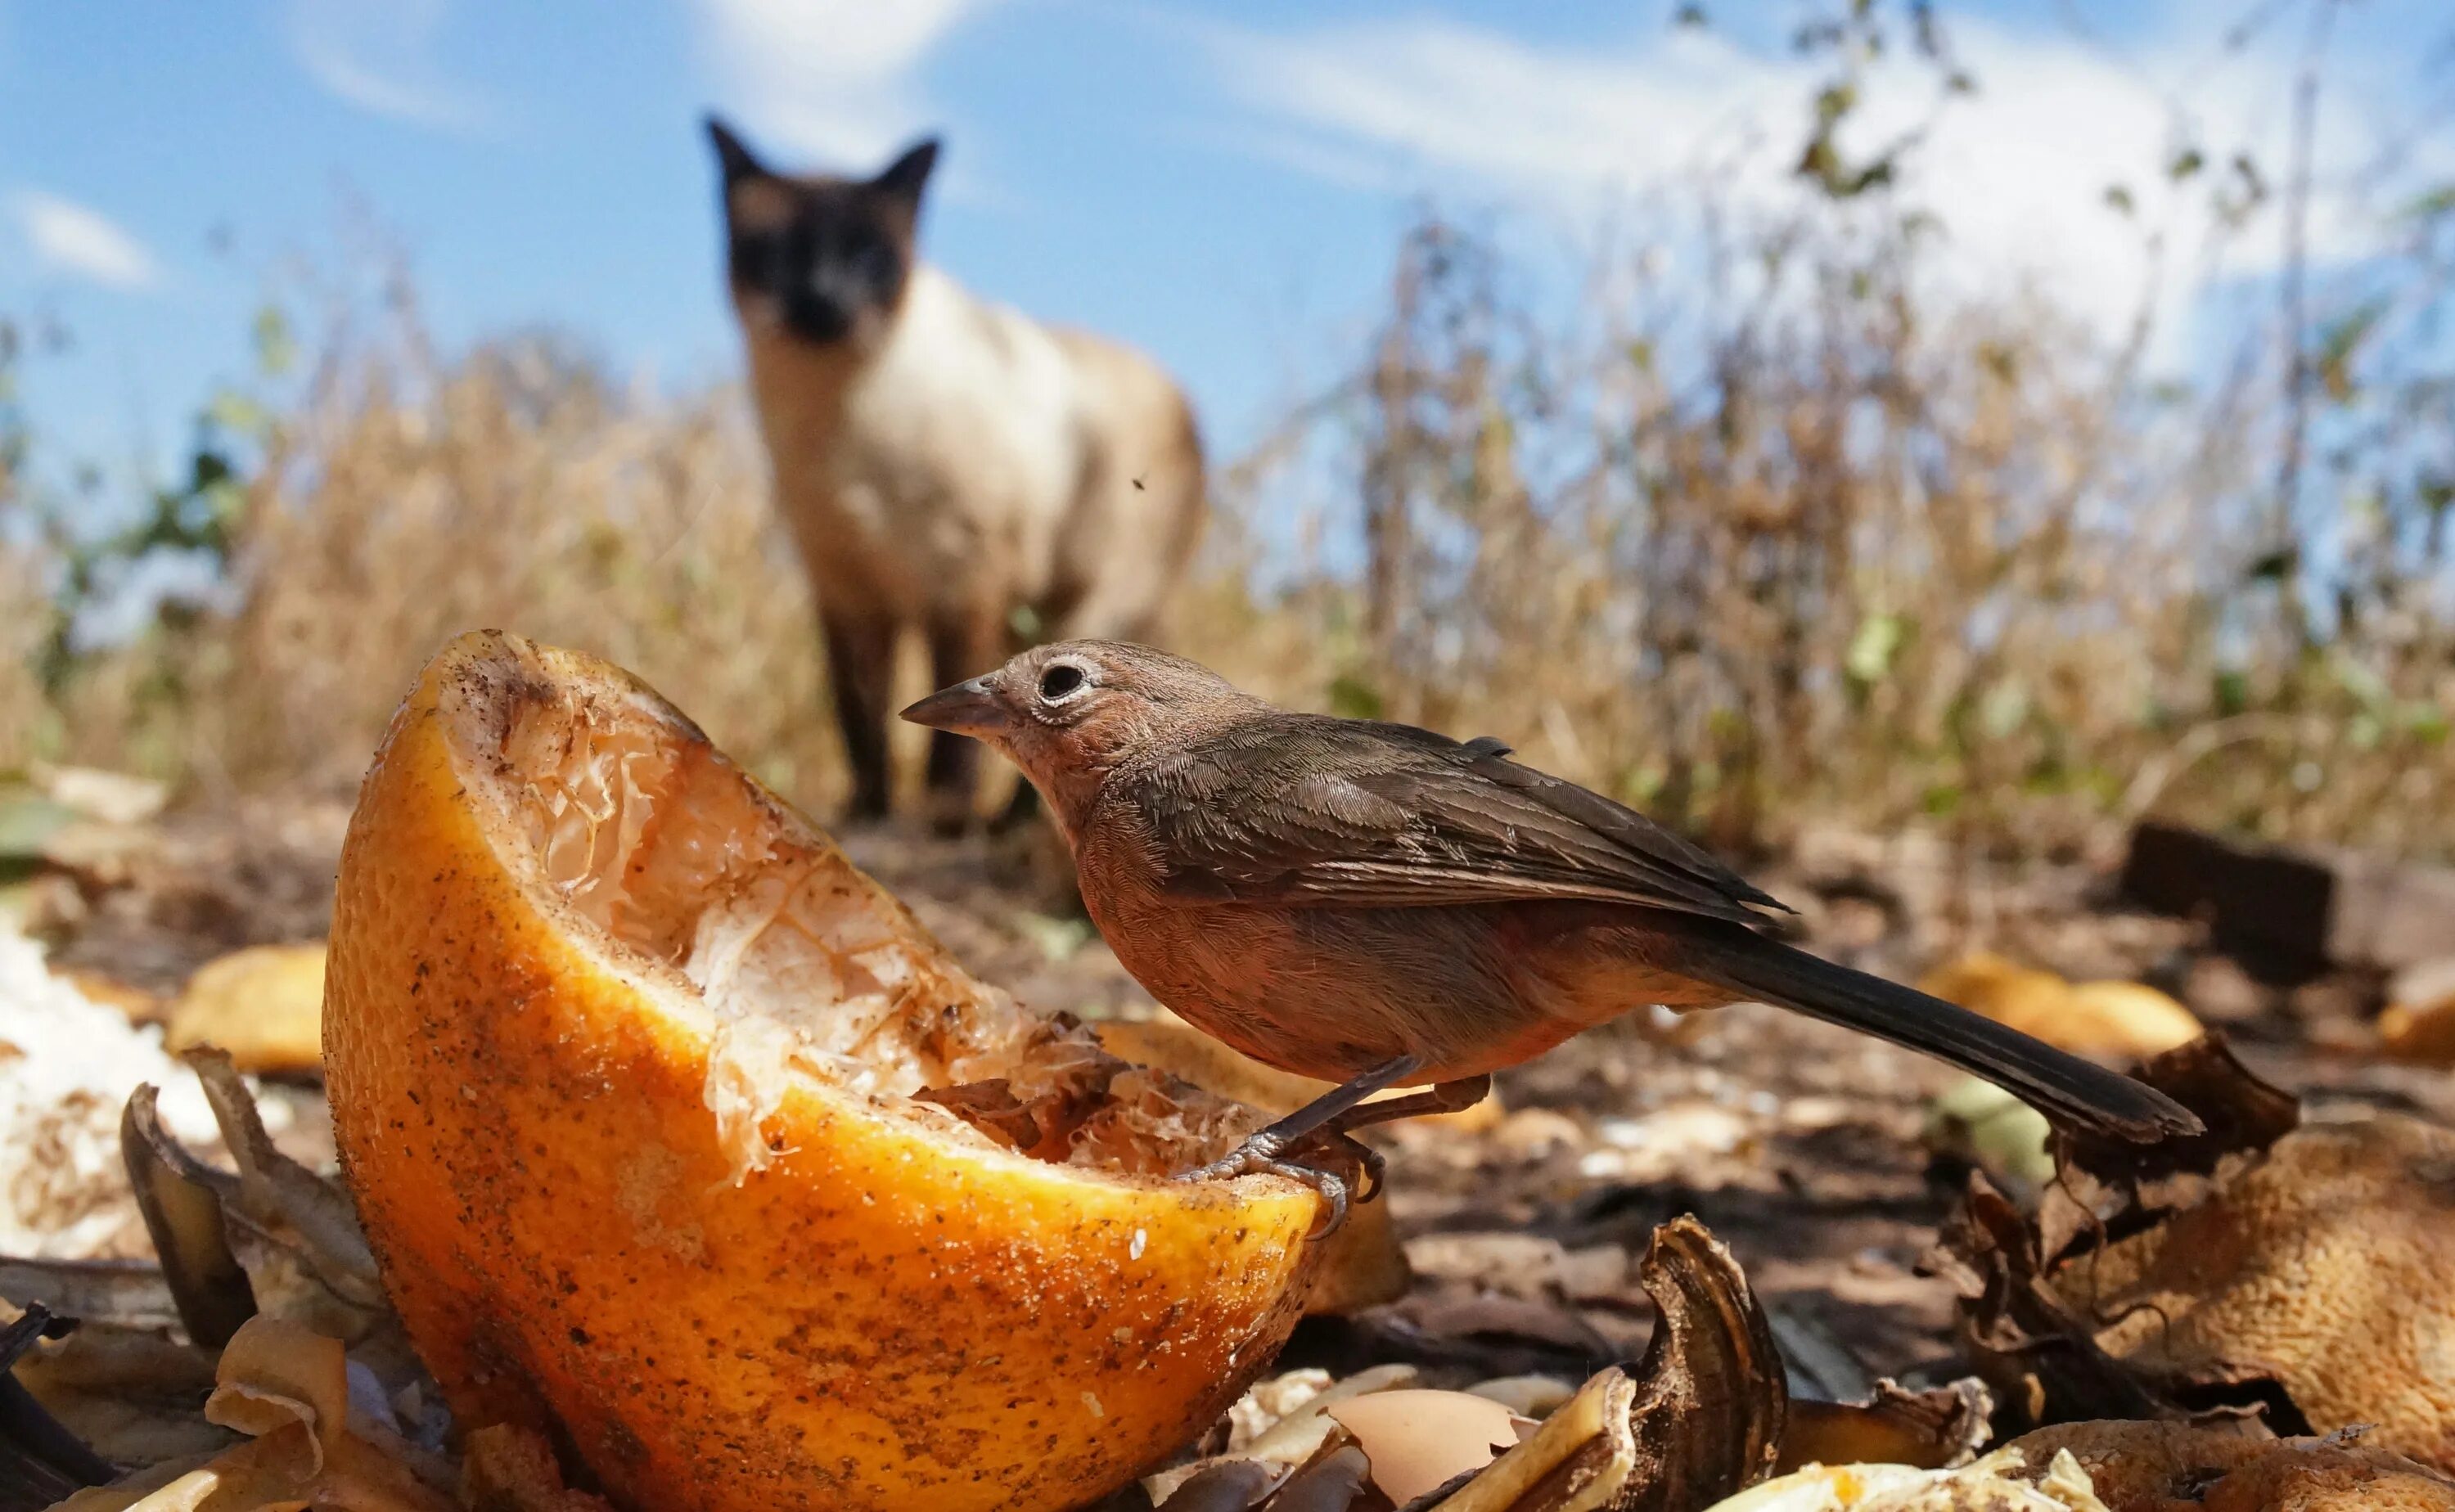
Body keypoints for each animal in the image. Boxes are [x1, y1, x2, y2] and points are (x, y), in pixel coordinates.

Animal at [707, 118, 1203, 835]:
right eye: (777, 254)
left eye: (869, 257)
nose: (825, 299)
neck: (837, 415)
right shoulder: (847, 589)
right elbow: (860, 715)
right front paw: (869, 812)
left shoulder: (962, 584)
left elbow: (950, 736)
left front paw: (941, 817)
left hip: (1093, 596)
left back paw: (1008, 826)